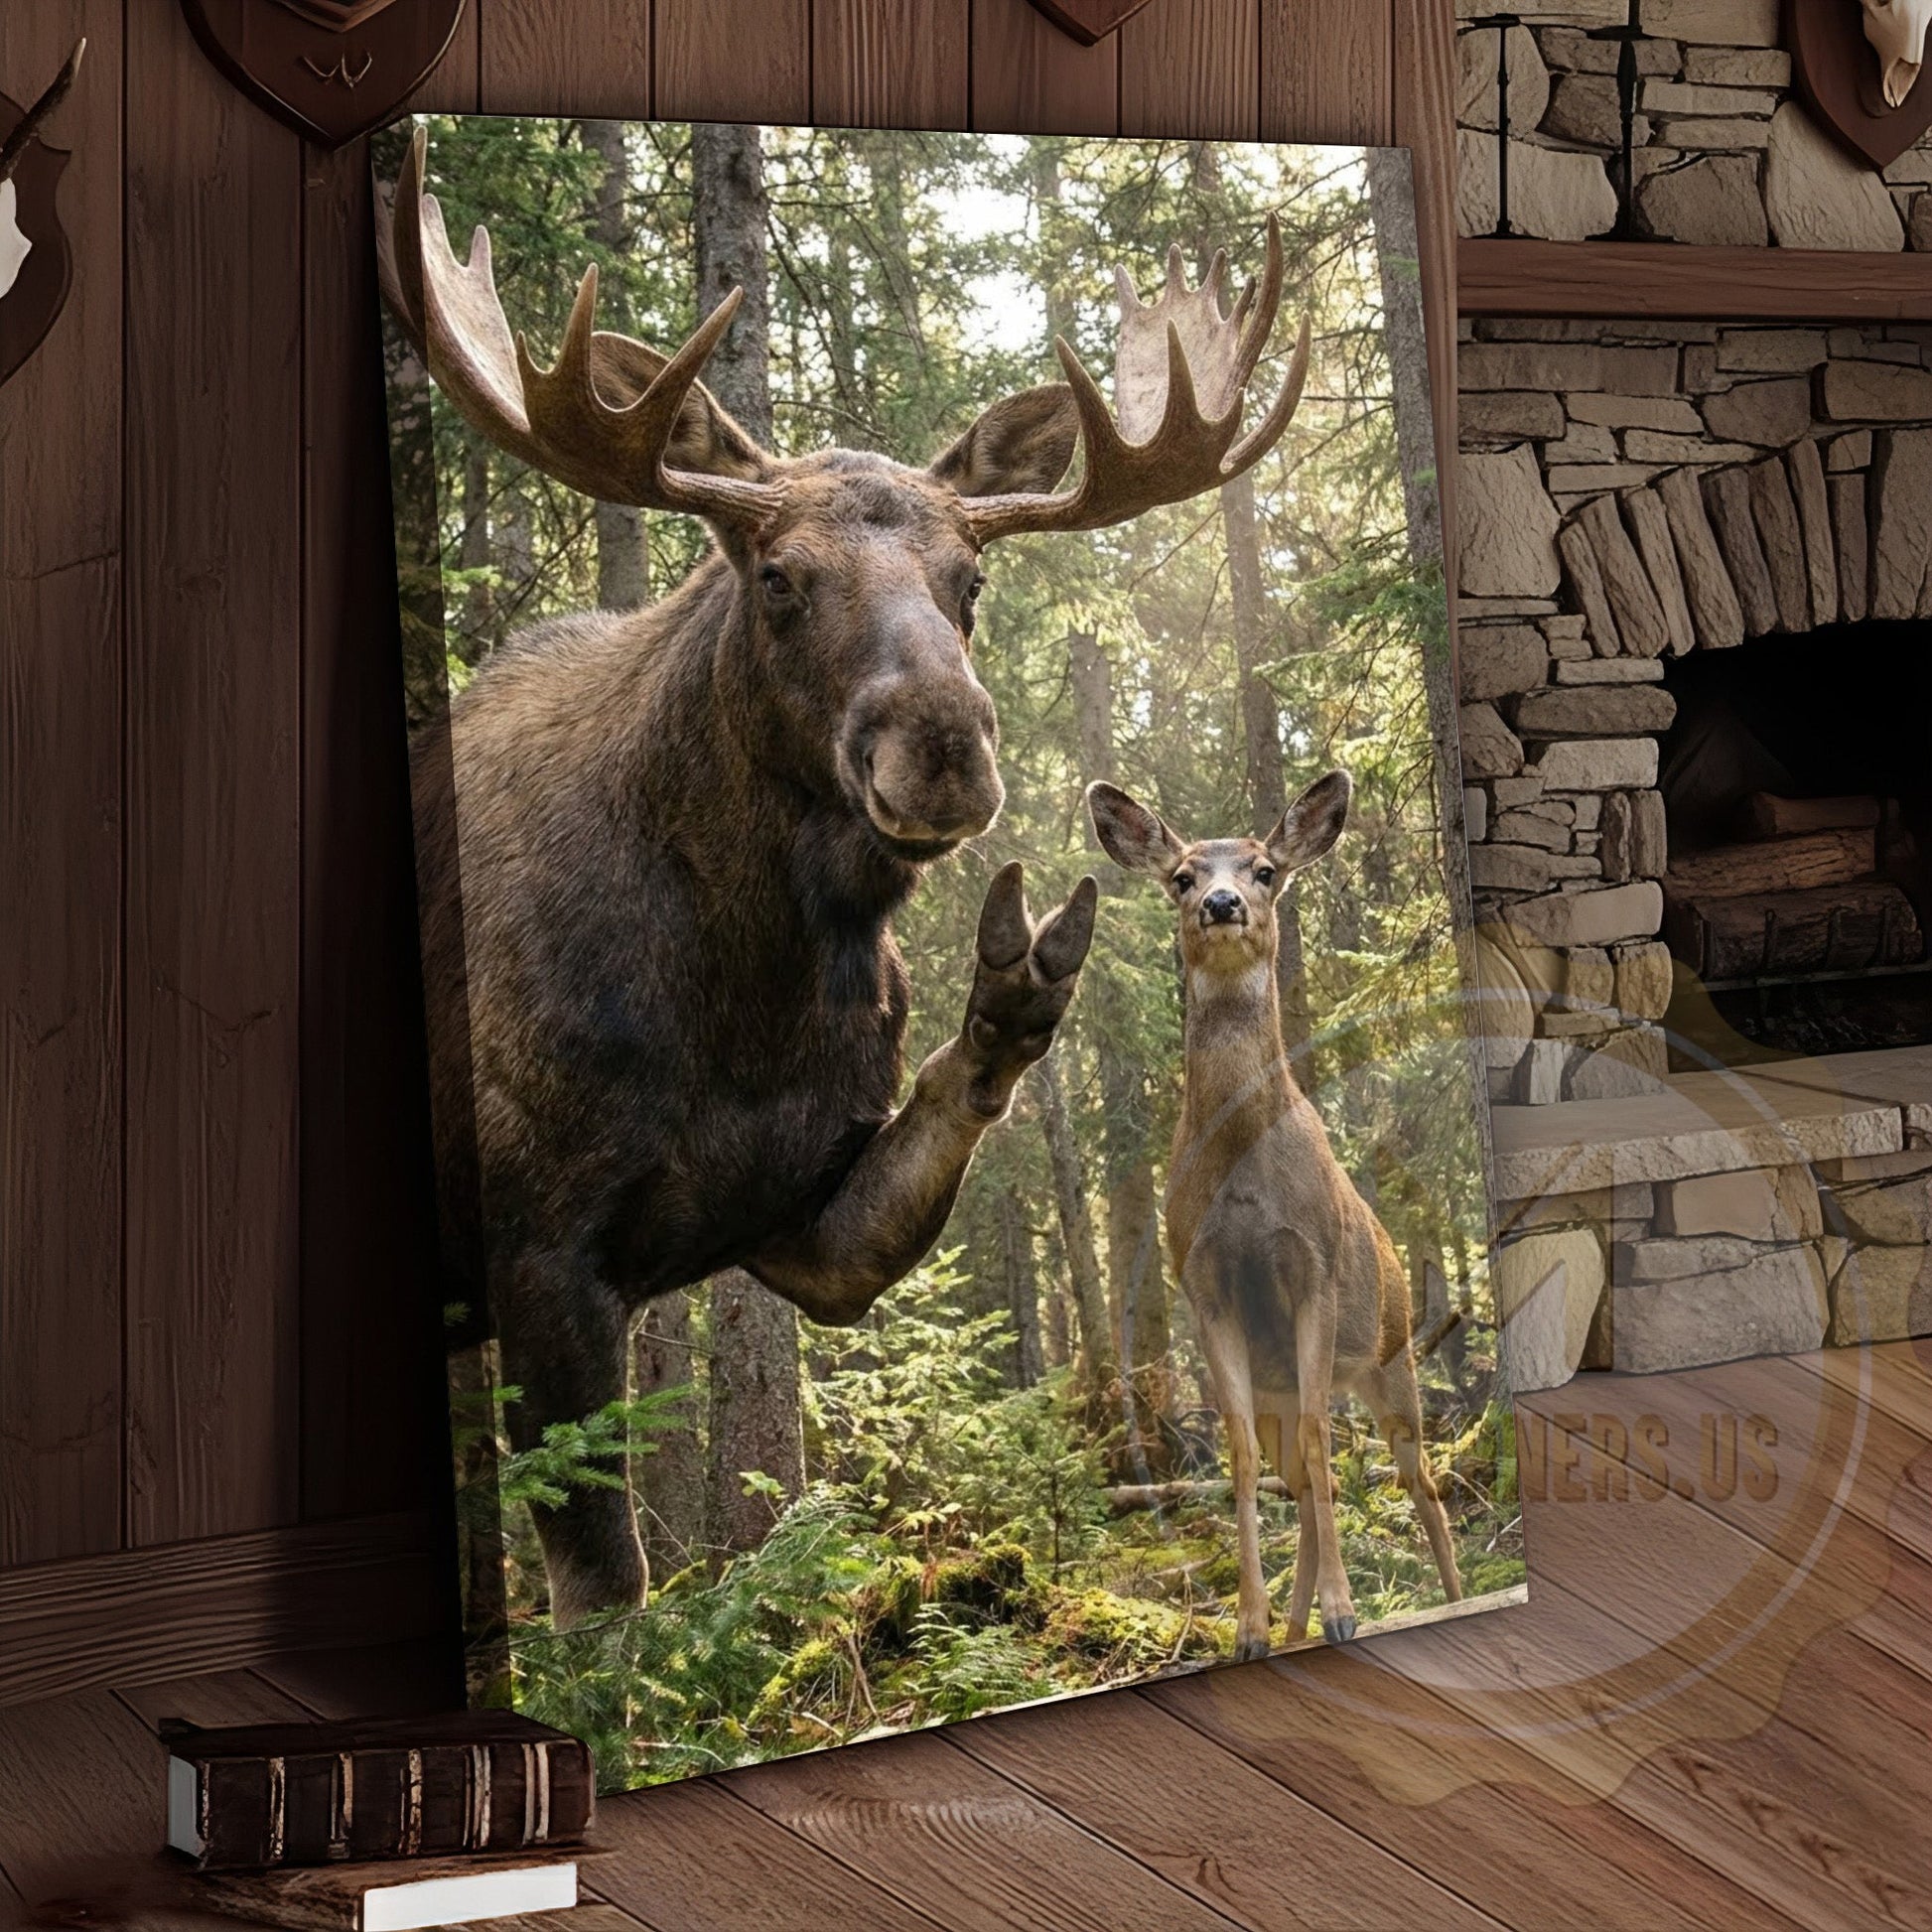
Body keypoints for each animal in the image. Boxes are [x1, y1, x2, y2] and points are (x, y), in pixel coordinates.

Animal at [379, 130, 1312, 1626]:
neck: (739, 997)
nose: (940, 744)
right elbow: (610, 1599)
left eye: (969, 579)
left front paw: (1017, 981)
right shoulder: (537, 1251)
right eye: (775, 574)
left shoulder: (794, 1221)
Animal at [1087, 773, 1462, 1658]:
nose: (1222, 903)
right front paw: (1251, 1629)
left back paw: (1448, 1592)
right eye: (1181, 876)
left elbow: (1328, 1446)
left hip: (1392, 1363)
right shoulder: (1207, 1288)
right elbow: (1241, 1454)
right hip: (1282, 1380)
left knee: (1419, 1478)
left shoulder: (1313, 1269)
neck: (1245, 1182)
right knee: (1297, 1472)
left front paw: (1344, 1610)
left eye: (1264, 869)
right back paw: (1294, 1626)